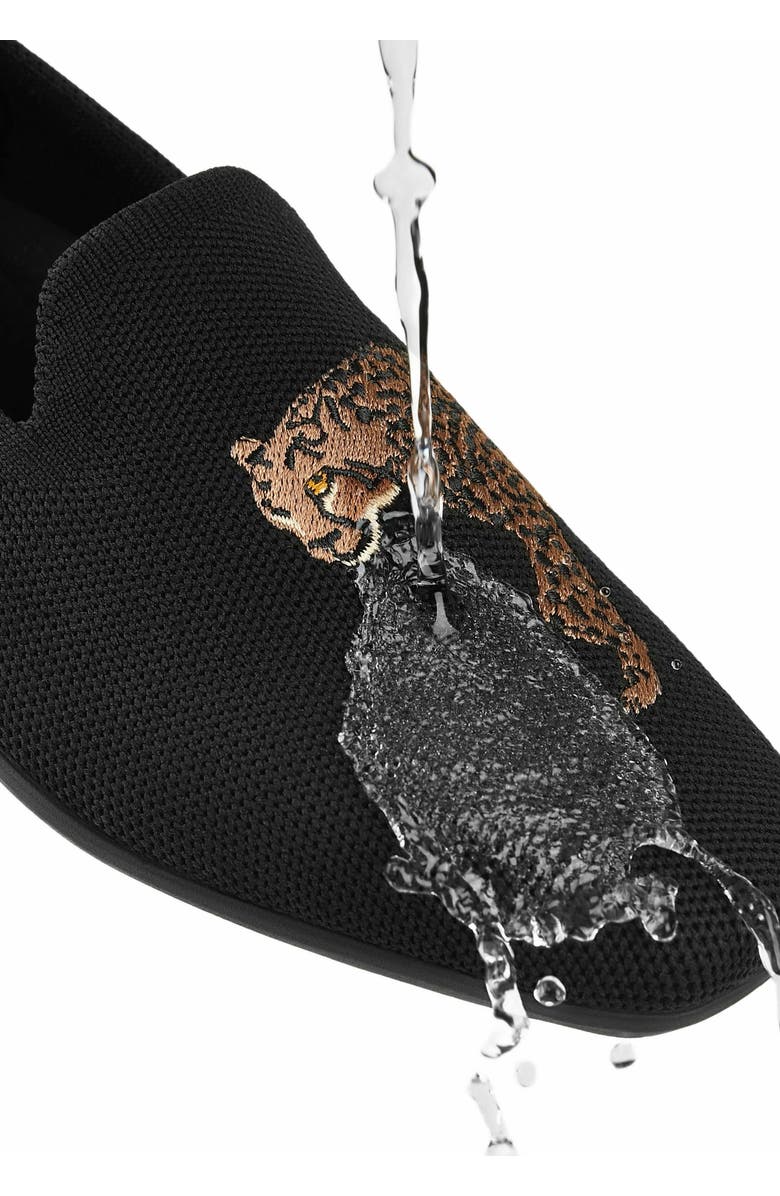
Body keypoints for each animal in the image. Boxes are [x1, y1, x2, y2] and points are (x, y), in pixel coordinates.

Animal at [232, 342, 660, 712]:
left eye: (318, 483)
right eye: (279, 512)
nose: (325, 545)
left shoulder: (511, 502)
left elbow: (572, 587)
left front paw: (635, 675)